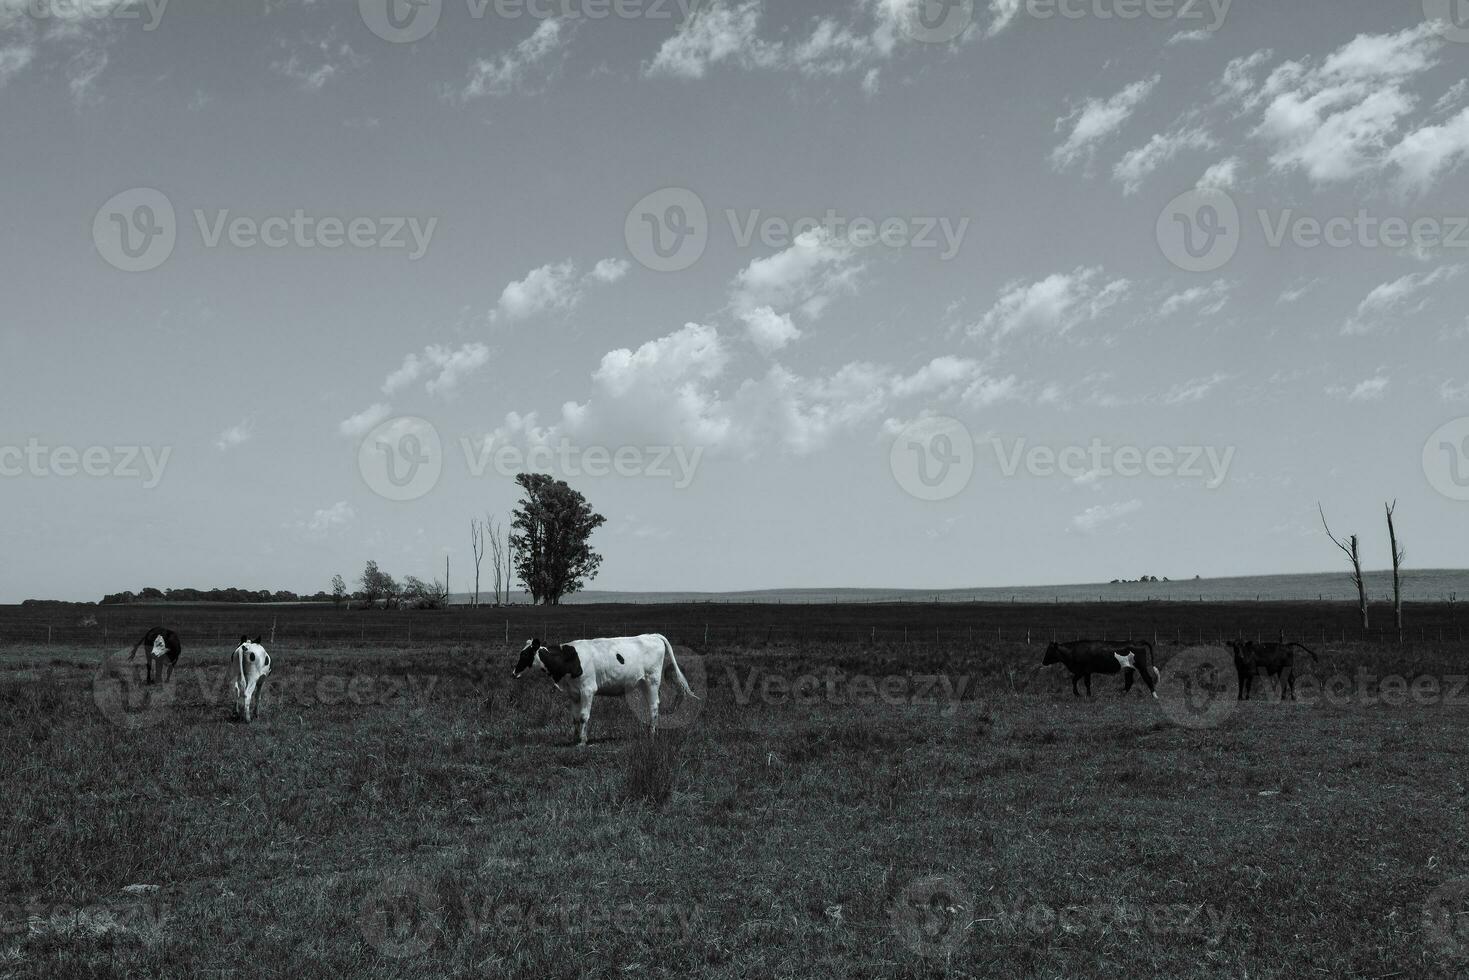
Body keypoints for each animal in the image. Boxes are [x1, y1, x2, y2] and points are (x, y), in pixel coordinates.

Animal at [514, 631, 702, 746]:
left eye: (525, 654)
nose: (514, 672)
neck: (569, 659)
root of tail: (652, 635)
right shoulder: (573, 693)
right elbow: (575, 718)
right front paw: (575, 738)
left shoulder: (588, 690)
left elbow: (583, 716)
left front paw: (582, 741)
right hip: (642, 682)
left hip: (652, 680)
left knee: (654, 705)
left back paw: (652, 734)